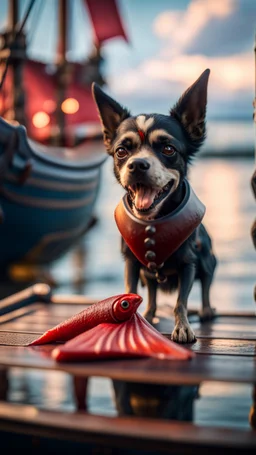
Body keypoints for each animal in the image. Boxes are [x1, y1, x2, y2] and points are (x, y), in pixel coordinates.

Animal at [91, 69, 216, 344]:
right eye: (121, 151)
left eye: (168, 149)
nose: (137, 164)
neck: (153, 223)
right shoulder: (131, 263)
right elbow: (130, 290)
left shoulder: (189, 264)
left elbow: (181, 301)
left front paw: (183, 327)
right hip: (148, 274)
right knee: (152, 293)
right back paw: (149, 313)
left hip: (208, 260)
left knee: (205, 285)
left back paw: (206, 310)